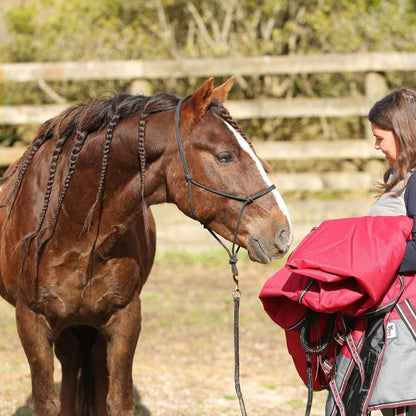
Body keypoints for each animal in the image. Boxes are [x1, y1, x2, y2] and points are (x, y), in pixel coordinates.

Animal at [0, 76, 292, 414]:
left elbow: (119, 400)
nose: (283, 232)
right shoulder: (32, 321)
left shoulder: (125, 317)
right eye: (225, 156)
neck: (72, 227)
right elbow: (47, 403)